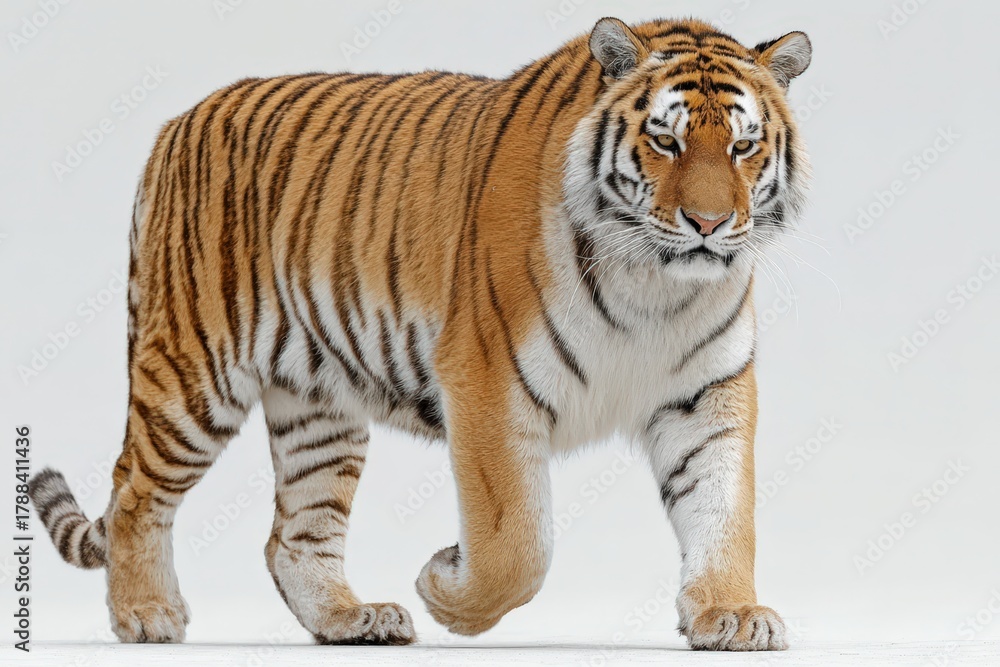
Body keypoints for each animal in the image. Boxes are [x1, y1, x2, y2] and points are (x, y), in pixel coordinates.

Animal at [28, 16, 812, 650]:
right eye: (665, 141)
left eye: (743, 146)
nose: (708, 224)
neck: (656, 288)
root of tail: (177, 123)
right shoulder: (489, 379)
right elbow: (516, 545)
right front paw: (445, 587)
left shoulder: (708, 393)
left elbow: (724, 509)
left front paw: (730, 613)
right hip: (194, 374)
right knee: (133, 490)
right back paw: (146, 614)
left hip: (318, 404)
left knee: (293, 535)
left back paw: (350, 619)